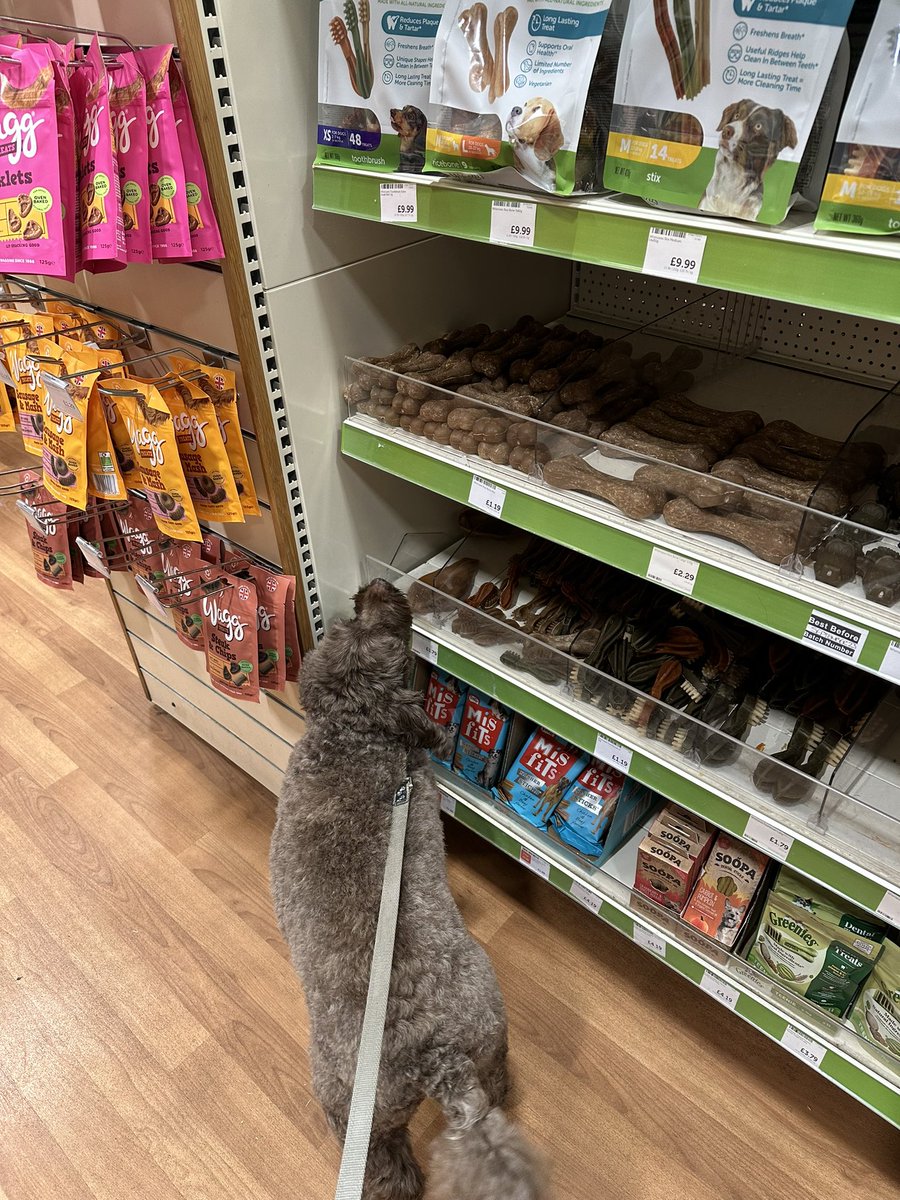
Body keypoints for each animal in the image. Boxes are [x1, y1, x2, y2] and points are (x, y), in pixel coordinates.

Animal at [271, 576, 542, 1195]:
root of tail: (435, 1058)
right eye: (362, 625)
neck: (353, 735)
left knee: (384, 1161)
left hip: (353, 1106)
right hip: (485, 1038)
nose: (376, 586)